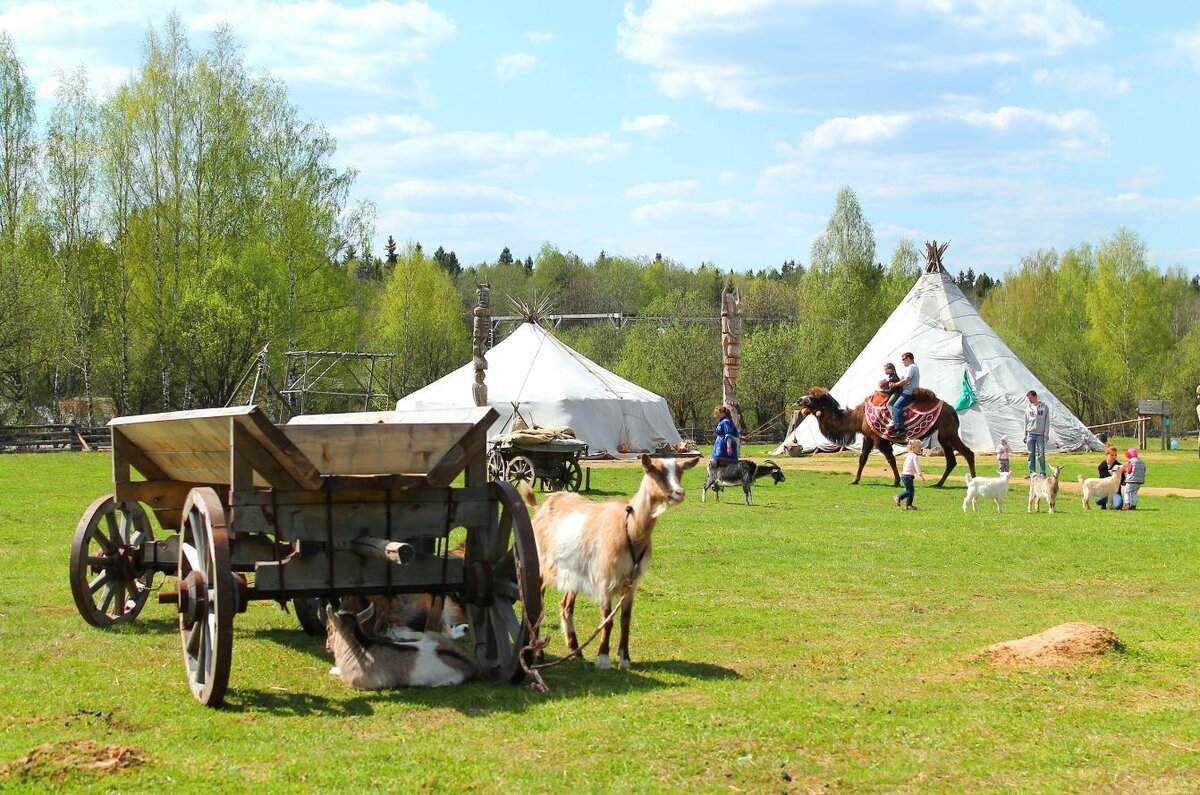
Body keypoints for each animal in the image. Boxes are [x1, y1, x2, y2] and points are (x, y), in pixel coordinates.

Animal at [518, 453, 700, 672]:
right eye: (655, 471)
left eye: (680, 472)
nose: (679, 493)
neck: (631, 529)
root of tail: (542, 508)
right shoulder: (605, 579)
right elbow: (607, 620)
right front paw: (603, 658)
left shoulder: (632, 582)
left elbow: (625, 620)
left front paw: (625, 658)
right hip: (540, 564)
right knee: (539, 606)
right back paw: (538, 653)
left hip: (574, 572)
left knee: (566, 606)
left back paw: (576, 651)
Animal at [796, 386, 974, 489]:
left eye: (815, 397)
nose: (799, 400)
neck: (858, 417)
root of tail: (952, 410)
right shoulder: (868, 437)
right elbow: (862, 458)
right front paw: (854, 480)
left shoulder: (878, 437)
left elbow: (890, 458)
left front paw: (896, 481)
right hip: (944, 435)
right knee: (951, 460)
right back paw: (938, 483)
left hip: (948, 431)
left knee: (968, 453)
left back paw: (973, 480)